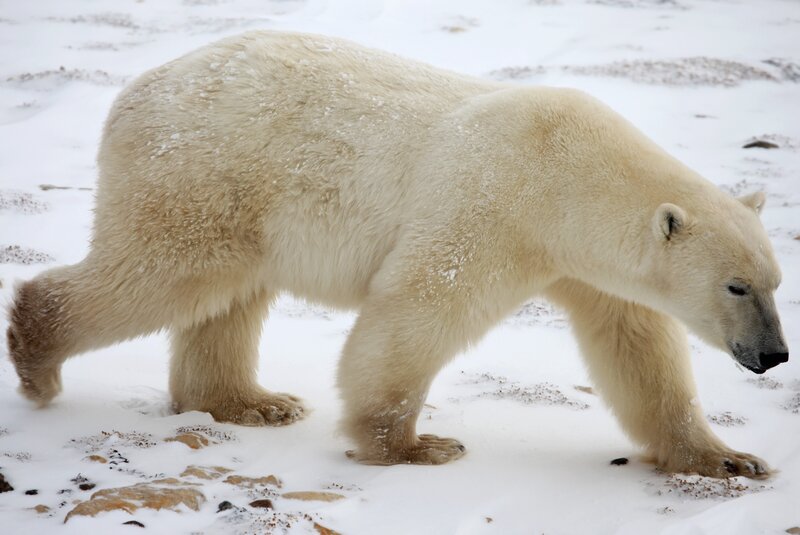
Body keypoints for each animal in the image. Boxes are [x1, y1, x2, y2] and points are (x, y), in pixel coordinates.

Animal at [6, 31, 789, 479]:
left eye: (776, 281)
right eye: (736, 287)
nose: (774, 355)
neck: (567, 171)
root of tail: (133, 92)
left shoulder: (589, 263)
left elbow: (638, 351)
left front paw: (729, 458)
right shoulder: (494, 203)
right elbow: (419, 307)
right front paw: (413, 445)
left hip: (240, 198)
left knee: (228, 298)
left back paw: (251, 402)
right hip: (203, 171)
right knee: (163, 272)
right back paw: (38, 357)